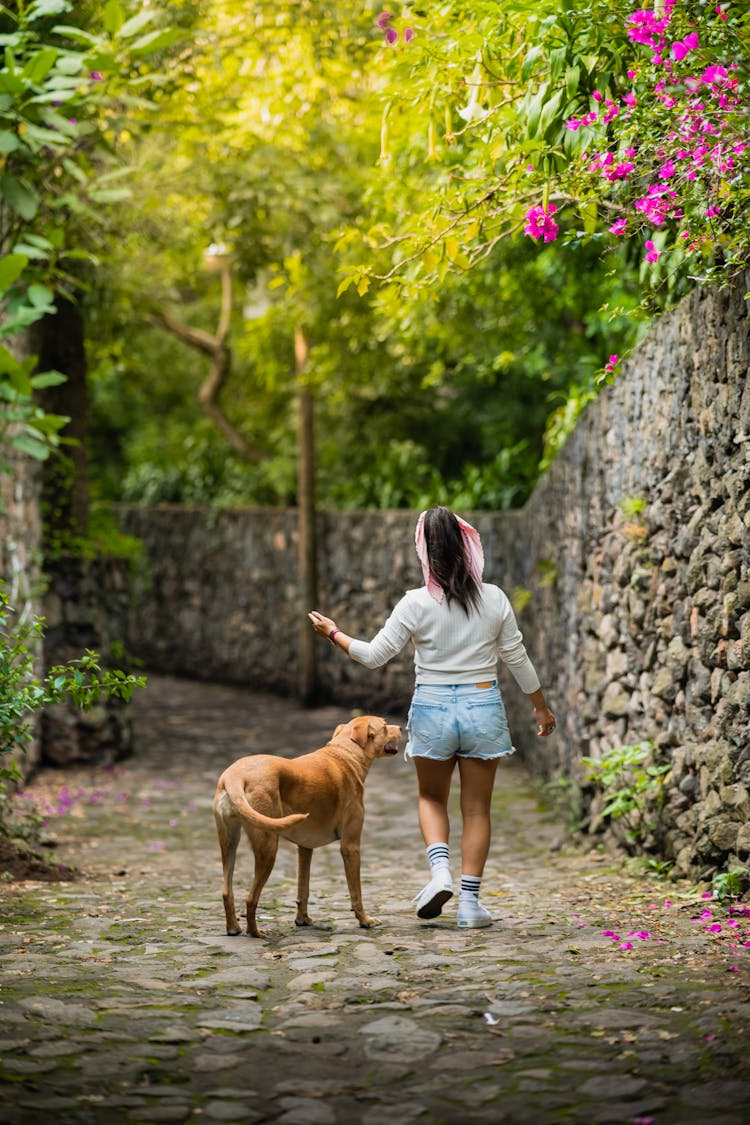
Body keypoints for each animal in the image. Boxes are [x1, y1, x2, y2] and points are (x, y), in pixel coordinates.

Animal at [213, 715, 402, 936]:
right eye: (385, 725)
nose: (401, 727)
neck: (344, 754)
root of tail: (234, 776)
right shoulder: (350, 846)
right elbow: (356, 892)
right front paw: (365, 921)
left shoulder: (304, 847)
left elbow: (303, 889)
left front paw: (302, 919)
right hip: (268, 848)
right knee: (251, 899)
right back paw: (256, 934)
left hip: (229, 844)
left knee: (227, 891)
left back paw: (233, 928)